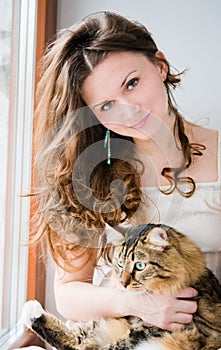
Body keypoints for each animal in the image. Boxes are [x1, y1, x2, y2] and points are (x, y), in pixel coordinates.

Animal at [19, 224, 220, 350]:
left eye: (140, 265)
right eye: (121, 263)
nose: (123, 283)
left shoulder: (157, 331)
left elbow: (102, 347)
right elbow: (80, 339)